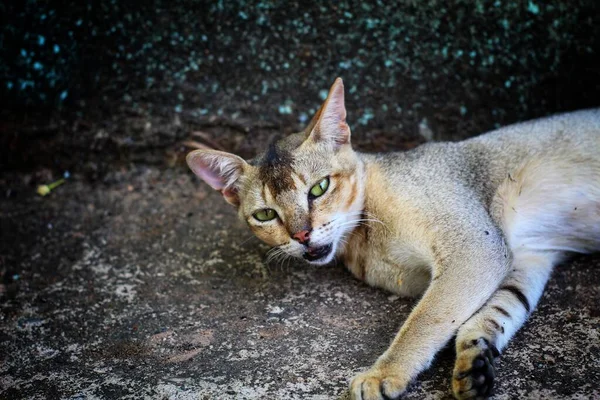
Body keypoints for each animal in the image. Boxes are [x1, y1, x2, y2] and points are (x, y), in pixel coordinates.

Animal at [185, 79, 596, 400]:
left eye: (319, 188)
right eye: (265, 215)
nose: (301, 235)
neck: (366, 242)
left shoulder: (478, 246)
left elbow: (426, 318)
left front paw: (384, 375)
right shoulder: (525, 257)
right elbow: (497, 313)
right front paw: (476, 360)